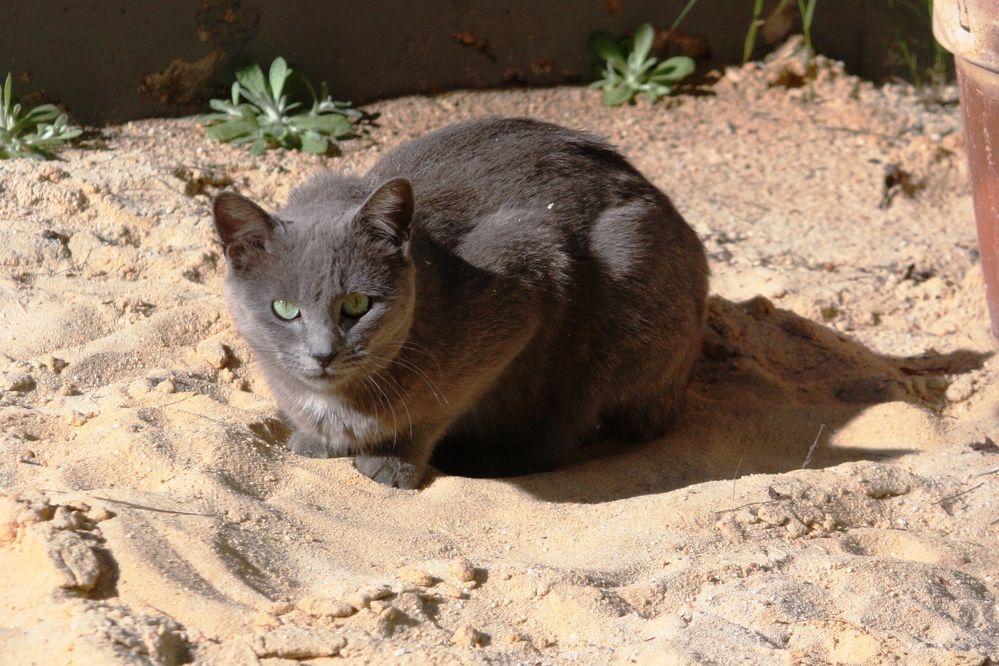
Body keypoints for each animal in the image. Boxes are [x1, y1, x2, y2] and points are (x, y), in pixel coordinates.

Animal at [213, 116, 712, 486]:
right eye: (284, 309)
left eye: (356, 304)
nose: (322, 353)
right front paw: (316, 441)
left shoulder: (527, 272)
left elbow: (432, 412)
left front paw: (391, 462)